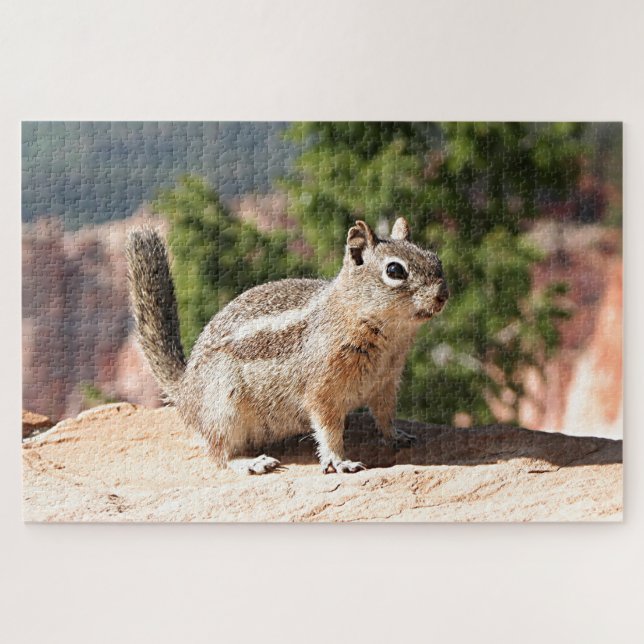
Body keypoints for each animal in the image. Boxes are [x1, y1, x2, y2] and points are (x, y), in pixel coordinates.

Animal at [125, 217, 449, 474]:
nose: (443, 295)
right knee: (218, 453)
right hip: (224, 406)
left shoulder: (385, 383)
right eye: (395, 270)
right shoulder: (322, 390)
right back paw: (252, 462)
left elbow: (385, 415)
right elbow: (329, 430)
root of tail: (185, 391)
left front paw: (397, 436)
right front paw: (340, 461)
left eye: (436, 259)